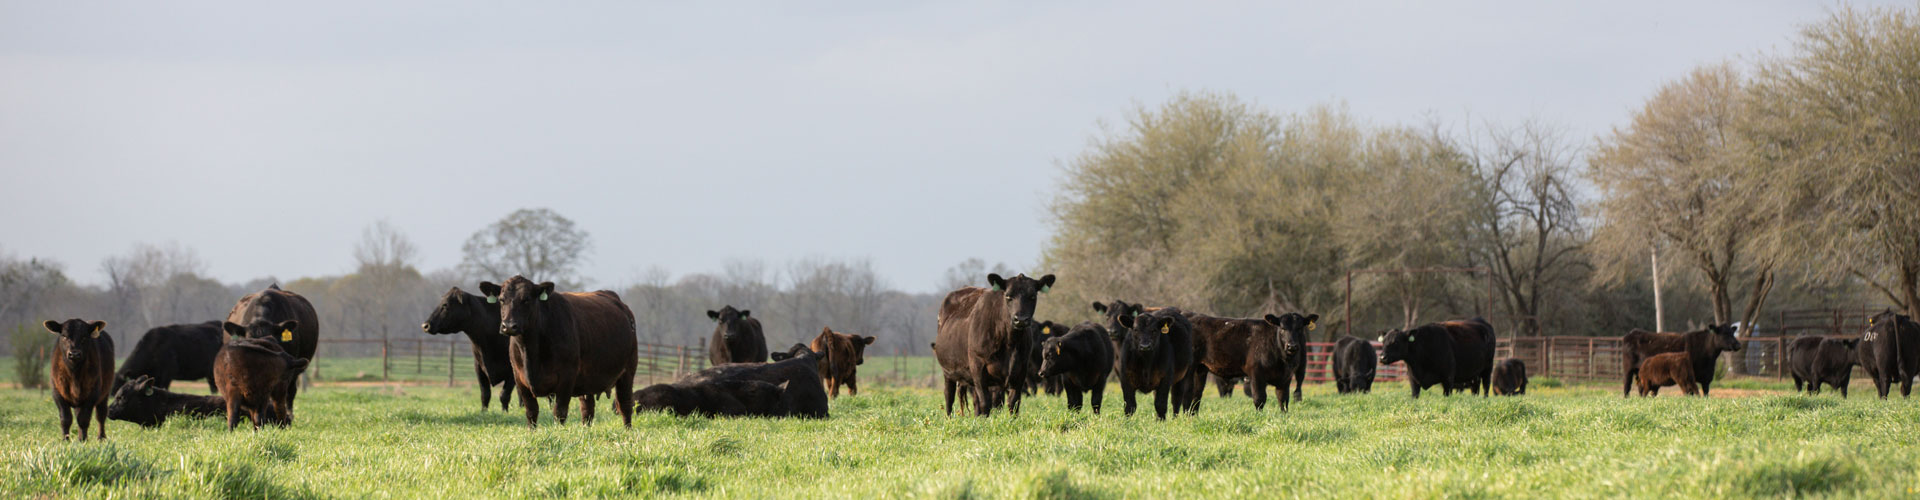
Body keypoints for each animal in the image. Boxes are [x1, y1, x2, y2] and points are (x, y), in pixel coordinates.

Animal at [478, 275, 637, 426]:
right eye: (501, 300)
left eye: (526, 300)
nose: (509, 326)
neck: (530, 350)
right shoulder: (519, 378)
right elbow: (531, 412)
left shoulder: (567, 378)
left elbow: (559, 412)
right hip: (588, 379)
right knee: (587, 410)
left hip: (628, 372)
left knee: (625, 404)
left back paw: (627, 430)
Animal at [929, 271, 1052, 415]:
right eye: (1008, 296)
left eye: (1032, 296)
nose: (1020, 319)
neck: (1010, 342)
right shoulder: (978, 367)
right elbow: (985, 403)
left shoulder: (1021, 370)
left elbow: (1013, 403)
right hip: (948, 371)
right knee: (949, 397)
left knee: (975, 400)